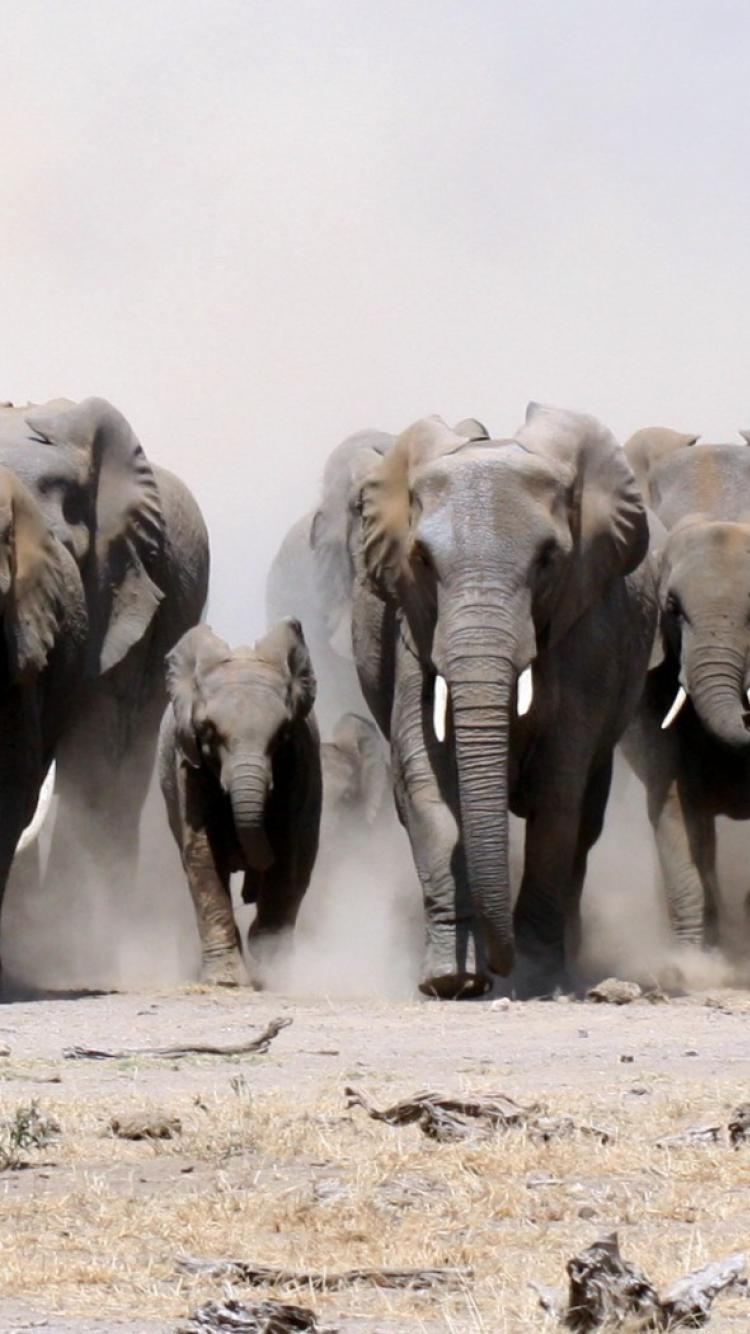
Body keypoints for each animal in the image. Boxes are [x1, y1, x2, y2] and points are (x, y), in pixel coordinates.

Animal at [158, 619, 322, 986]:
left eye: (282, 733)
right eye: (208, 732)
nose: (250, 894)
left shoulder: (299, 760)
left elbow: (288, 850)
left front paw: (273, 969)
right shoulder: (186, 763)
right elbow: (202, 853)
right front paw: (227, 981)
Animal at [350, 406, 656, 999]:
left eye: (548, 560)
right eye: (422, 560)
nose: (498, 970)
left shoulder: (589, 629)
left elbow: (557, 793)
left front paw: (535, 979)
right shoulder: (411, 627)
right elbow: (427, 781)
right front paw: (450, 980)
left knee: (585, 819)